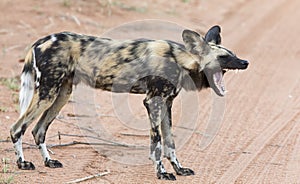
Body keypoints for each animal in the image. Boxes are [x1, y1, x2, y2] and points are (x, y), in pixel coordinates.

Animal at [9, 25, 248, 180]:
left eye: (233, 54)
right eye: (224, 57)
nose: (245, 62)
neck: (180, 60)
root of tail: (40, 41)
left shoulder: (166, 104)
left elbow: (170, 143)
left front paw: (179, 169)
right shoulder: (153, 102)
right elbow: (157, 143)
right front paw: (162, 172)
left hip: (61, 95)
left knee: (38, 130)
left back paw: (48, 162)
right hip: (47, 94)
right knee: (16, 128)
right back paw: (23, 163)